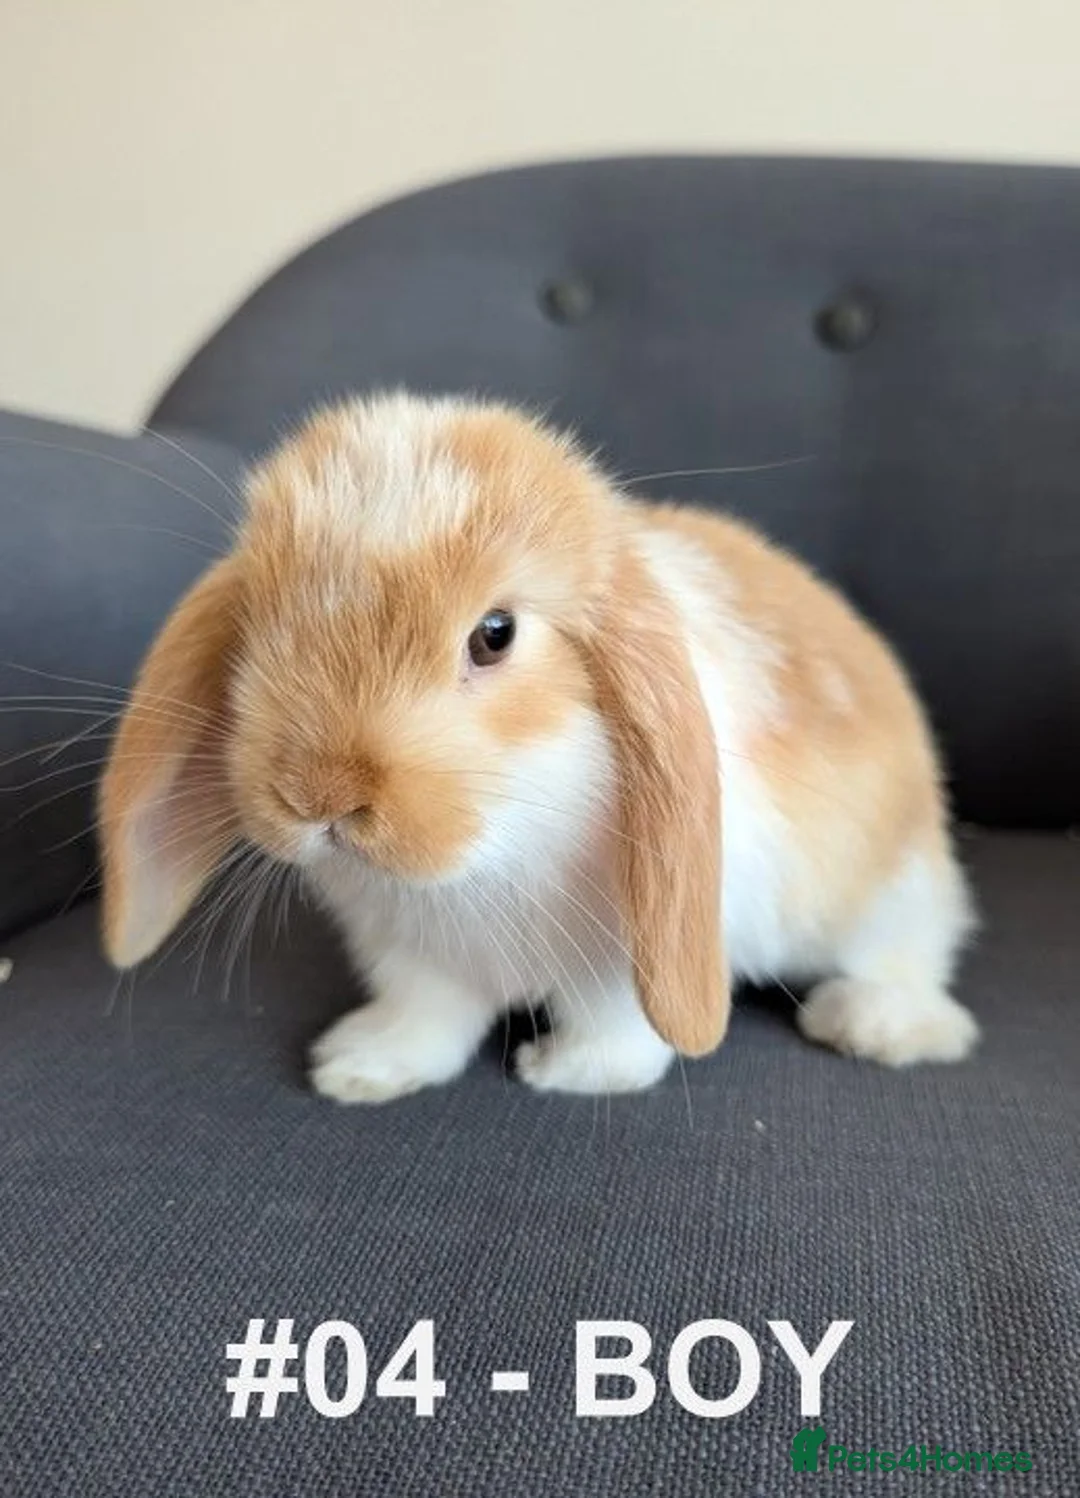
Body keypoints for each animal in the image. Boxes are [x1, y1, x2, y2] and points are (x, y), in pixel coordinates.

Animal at [98, 391, 978, 1102]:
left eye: (496, 635)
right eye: (257, 623)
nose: (319, 795)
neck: (495, 843)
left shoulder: (626, 960)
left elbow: (618, 1028)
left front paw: (565, 1073)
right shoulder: (412, 956)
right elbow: (427, 1017)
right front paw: (360, 1069)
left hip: (883, 896)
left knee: (914, 959)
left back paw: (869, 1023)